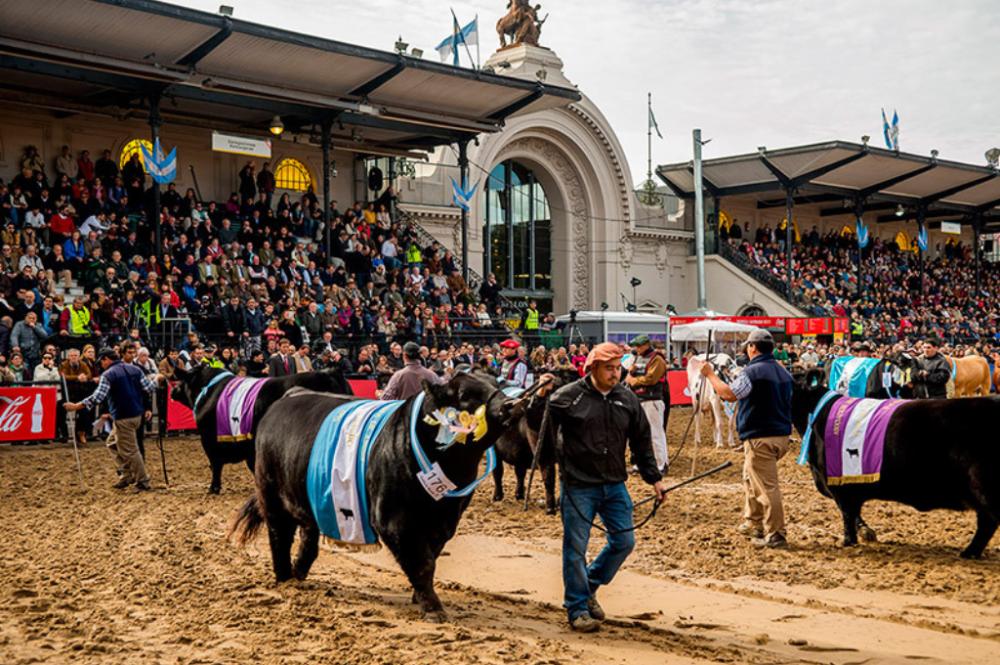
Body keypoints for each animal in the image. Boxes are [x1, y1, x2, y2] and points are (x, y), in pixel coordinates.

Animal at [174, 364, 354, 492]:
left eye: (182, 380)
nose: (173, 390)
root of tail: (328, 373)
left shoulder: (210, 441)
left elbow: (216, 465)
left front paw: (213, 488)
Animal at [231, 374, 520, 616]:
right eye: (465, 394)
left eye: (494, 383)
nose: (510, 404)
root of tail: (291, 394)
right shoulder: (393, 519)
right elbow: (422, 562)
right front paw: (433, 607)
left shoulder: (445, 522)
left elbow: (431, 556)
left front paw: (420, 597)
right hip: (271, 496)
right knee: (279, 535)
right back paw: (285, 579)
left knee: (308, 538)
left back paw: (298, 572)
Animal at [792, 366, 996, 556]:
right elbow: (853, 513)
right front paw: (865, 533)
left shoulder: (840, 485)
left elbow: (848, 515)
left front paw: (849, 542)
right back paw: (971, 552)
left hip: (982, 485)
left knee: (988, 521)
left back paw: (969, 552)